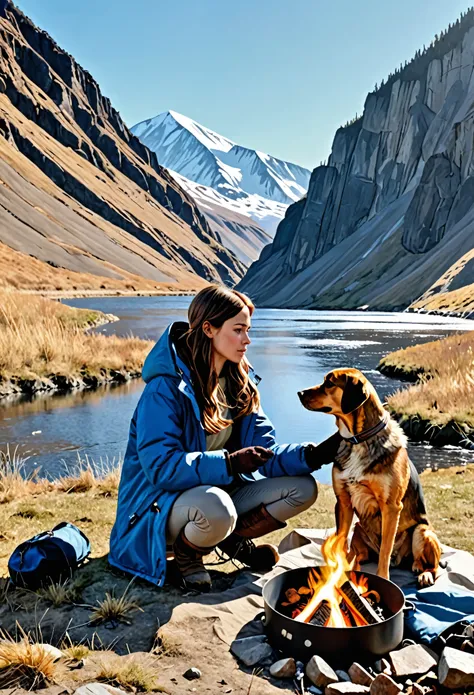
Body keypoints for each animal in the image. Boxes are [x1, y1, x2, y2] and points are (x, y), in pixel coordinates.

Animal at [298, 370, 442, 588]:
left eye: (329, 383)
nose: (299, 393)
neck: (358, 440)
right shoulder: (343, 501)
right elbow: (341, 541)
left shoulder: (391, 507)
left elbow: (385, 551)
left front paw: (383, 578)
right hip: (359, 528)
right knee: (360, 552)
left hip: (422, 531)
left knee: (429, 564)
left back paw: (423, 572)